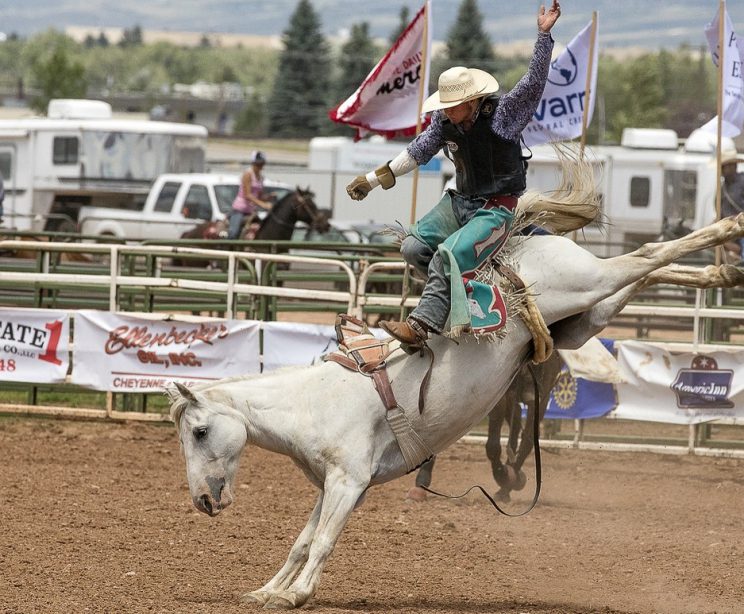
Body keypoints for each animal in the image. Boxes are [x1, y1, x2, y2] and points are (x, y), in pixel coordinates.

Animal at [169, 214, 744, 608]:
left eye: (199, 432)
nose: (202, 500)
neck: (311, 402)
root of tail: (519, 242)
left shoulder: (349, 481)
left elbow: (324, 541)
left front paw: (297, 594)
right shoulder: (331, 485)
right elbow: (301, 540)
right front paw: (267, 590)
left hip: (583, 284)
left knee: (644, 254)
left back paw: (727, 231)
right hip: (588, 315)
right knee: (643, 273)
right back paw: (721, 272)